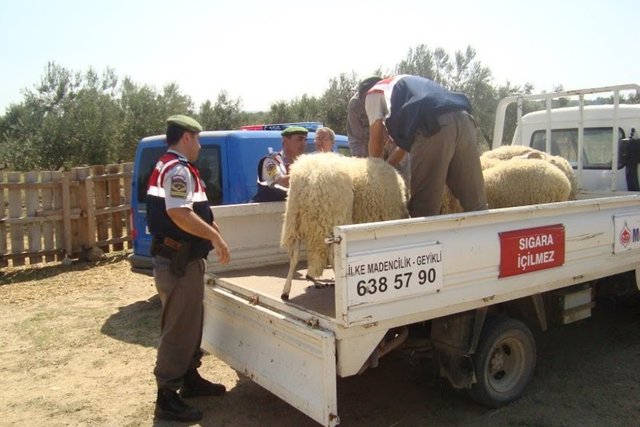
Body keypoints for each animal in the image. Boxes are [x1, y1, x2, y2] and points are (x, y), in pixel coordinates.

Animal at [282, 154, 410, 300]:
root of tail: (307, 178)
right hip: (332, 218)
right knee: (331, 254)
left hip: (294, 220)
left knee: (295, 255)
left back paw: (288, 290)